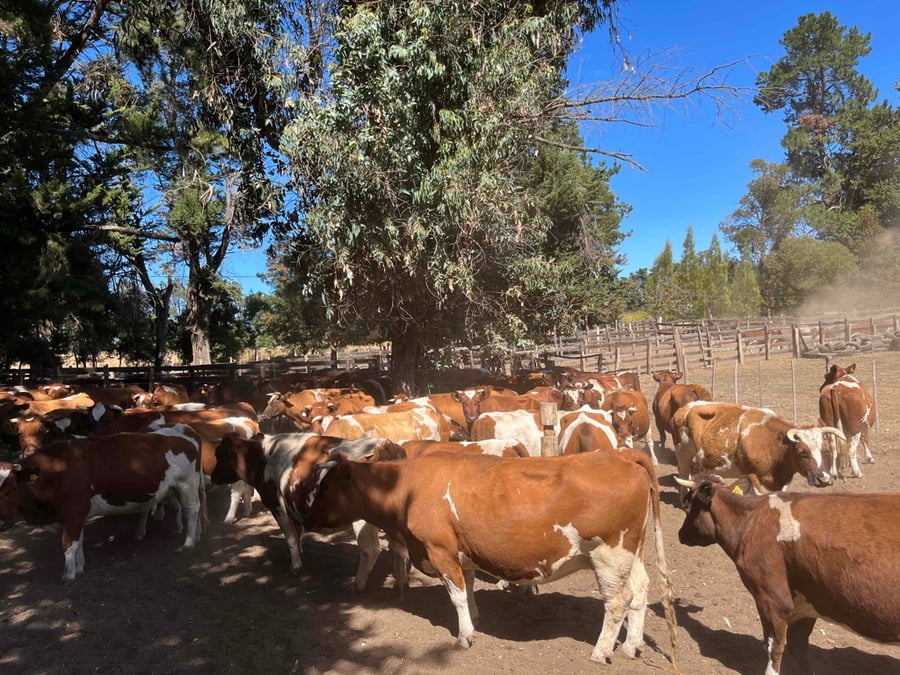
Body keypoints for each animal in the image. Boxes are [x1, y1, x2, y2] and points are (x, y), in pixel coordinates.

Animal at [0, 425, 203, 581]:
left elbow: (69, 544)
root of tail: (183, 429)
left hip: (188, 484)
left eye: (13, 488)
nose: (1, 522)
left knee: (192, 510)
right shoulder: (77, 514)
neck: (57, 470)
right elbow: (79, 540)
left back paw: (189, 542)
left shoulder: (74, 512)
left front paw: (69, 575)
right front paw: (80, 567)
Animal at [210, 432, 404, 590]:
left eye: (219, 455)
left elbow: (290, 537)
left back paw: (358, 584)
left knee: (370, 549)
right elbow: (297, 533)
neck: (264, 456)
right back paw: (400, 582)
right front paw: (300, 553)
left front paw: (296, 566)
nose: (212, 477)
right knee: (398, 549)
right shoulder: (293, 505)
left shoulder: (276, 504)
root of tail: (383, 443)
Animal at [302, 450, 677, 665]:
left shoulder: (440, 551)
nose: (305, 519)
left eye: (325, 487)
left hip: (608, 553)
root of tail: (623, 456)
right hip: (632, 551)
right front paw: (476, 619)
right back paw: (631, 646)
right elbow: (467, 588)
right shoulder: (462, 551)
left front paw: (464, 636)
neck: (407, 487)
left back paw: (601, 652)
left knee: (617, 601)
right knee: (640, 592)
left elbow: (455, 596)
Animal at [672, 402, 844, 495]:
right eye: (802, 452)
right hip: (682, 454)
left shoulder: (783, 481)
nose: (824, 479)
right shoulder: (753, 476)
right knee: (684, 476)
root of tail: (685, 408)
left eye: (825, 451)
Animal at [677, 474, 900, 674]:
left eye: (687, 505)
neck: (750, 520)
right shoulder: (808, 600)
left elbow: (773, 648)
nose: (680, 535)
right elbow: (799, 647)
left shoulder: (772, 598)